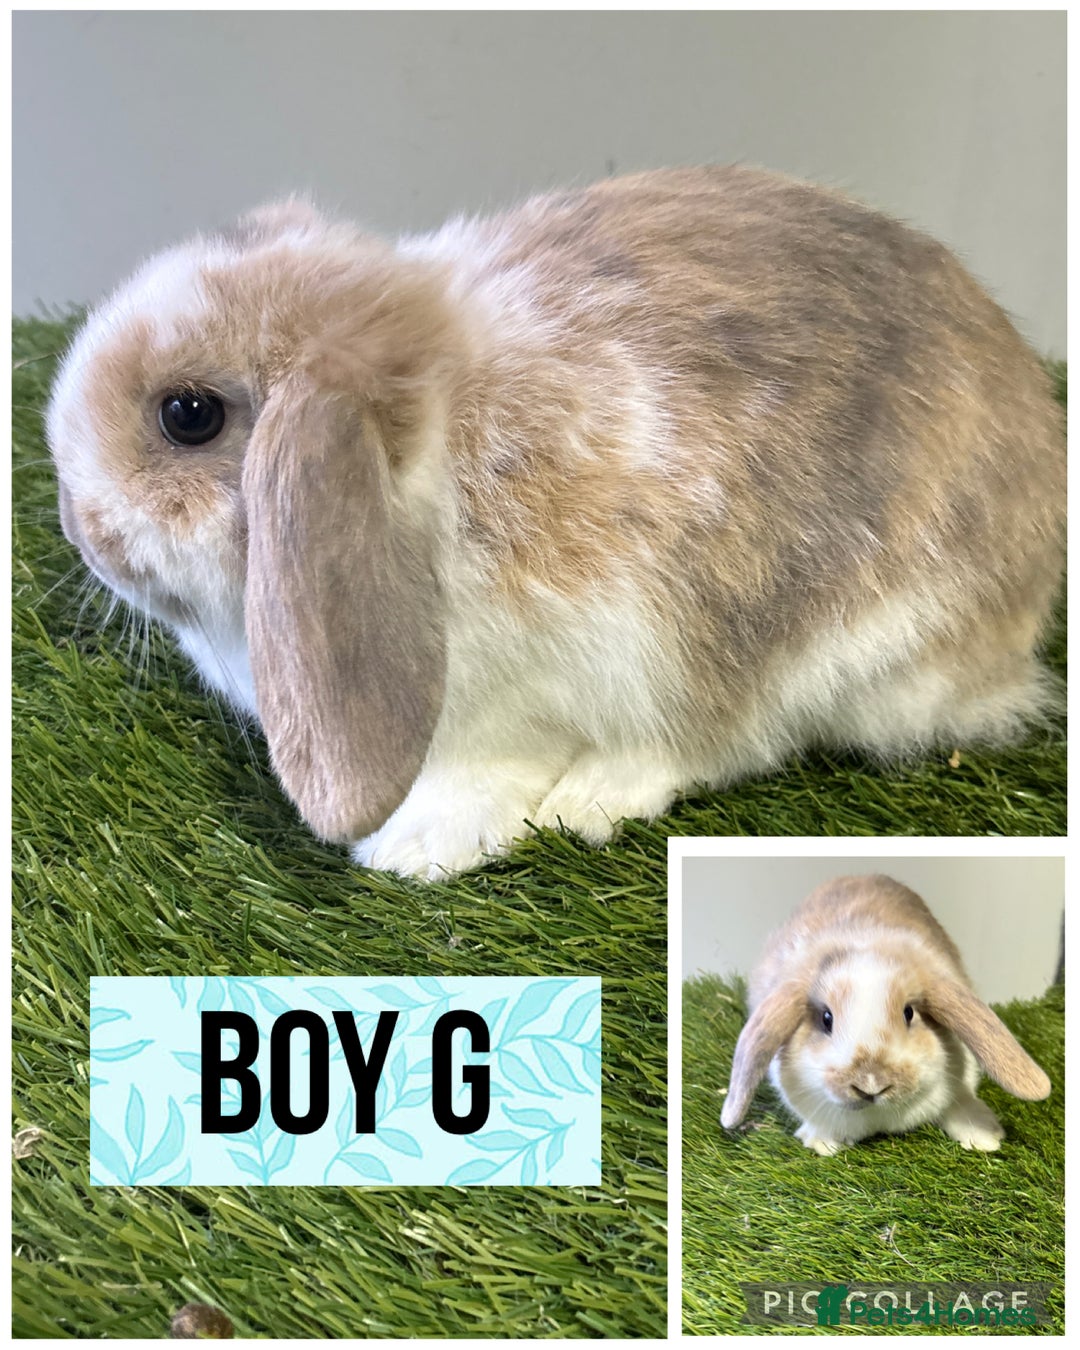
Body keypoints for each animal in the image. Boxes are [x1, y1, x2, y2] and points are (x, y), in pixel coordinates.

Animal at [46, 166, 1065, 879]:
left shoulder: (532, 689)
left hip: (821, 644)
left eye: (188, 415)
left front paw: (415, 850)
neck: (439, 451)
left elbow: (488, 767)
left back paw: (588, 801)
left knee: (728, 737)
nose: (82, 529)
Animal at [720, 874, 1052, 1154]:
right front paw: (823, 1142)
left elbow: (959, 1102)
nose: (870, 1085)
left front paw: (985, 1136)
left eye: (909, 1013)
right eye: (826, 1019)